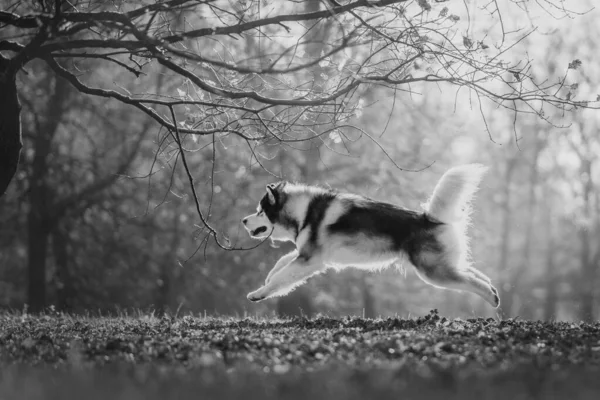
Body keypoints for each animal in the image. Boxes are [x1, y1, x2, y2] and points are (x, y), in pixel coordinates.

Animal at [241, 164, 500, 308]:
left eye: (260, 211)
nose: (243, 221)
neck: (305, 212)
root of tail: (429, 218)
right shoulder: (308, 256)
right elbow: (280, 264)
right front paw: (267, 279)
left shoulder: (310, 260)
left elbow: (280, 277)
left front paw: (258, 293)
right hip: (443, 265)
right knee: (474, 273)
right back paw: (493, 288)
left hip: (433, 272)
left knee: (472, 282)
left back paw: (491, 298)